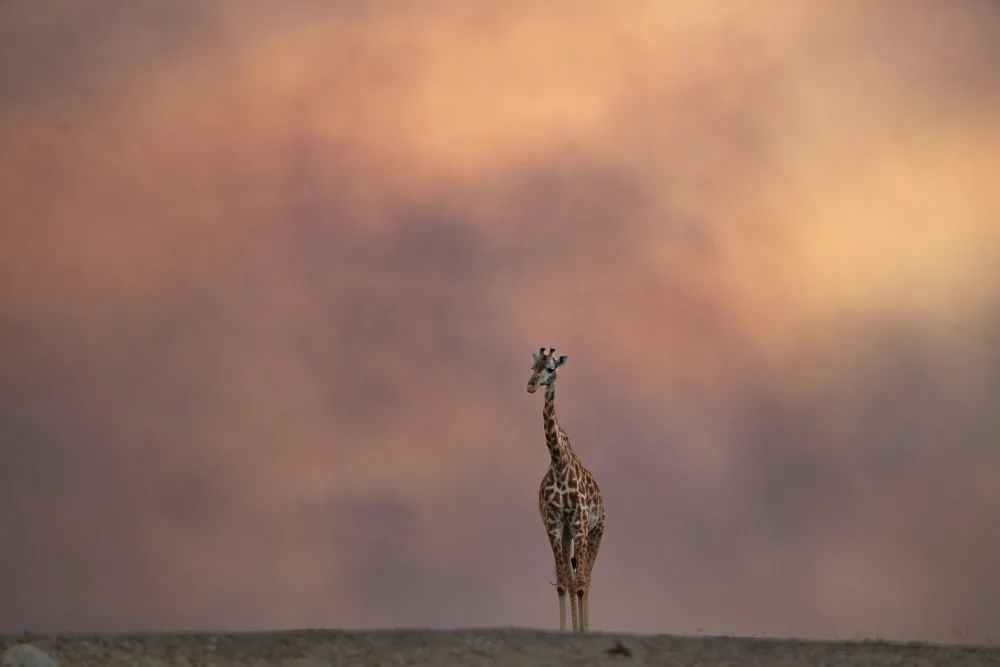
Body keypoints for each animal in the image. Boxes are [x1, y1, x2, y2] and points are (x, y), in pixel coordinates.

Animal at [526, 346, 605, 633]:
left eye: (551, 368)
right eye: (533, 367)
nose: (530, 386)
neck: (559, 464)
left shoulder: (581, 525)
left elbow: (578, 583)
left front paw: (580, 632)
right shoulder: (554, 525)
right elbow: (563, 582)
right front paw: (564, 630)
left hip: (596, 530)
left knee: (587, 580)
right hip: (568, 534)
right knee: (573, 578)